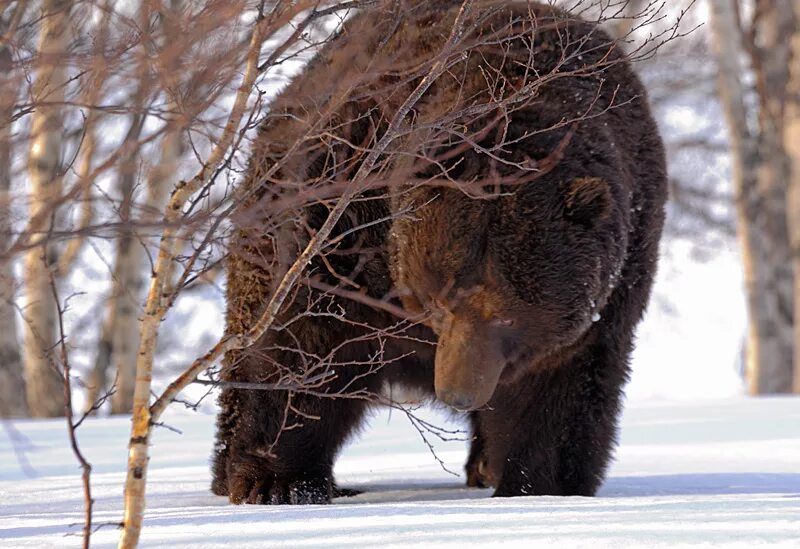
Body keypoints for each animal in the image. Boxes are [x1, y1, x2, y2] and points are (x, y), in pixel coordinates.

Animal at [209, 0, 664, 504]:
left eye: (508, 316)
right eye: (440, 301)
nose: (458, 393)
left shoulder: (612, 275)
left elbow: (560, 388)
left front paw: (539, 485)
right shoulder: (350, 207)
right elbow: (310, 339)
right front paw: (278, 480)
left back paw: (484, 463)